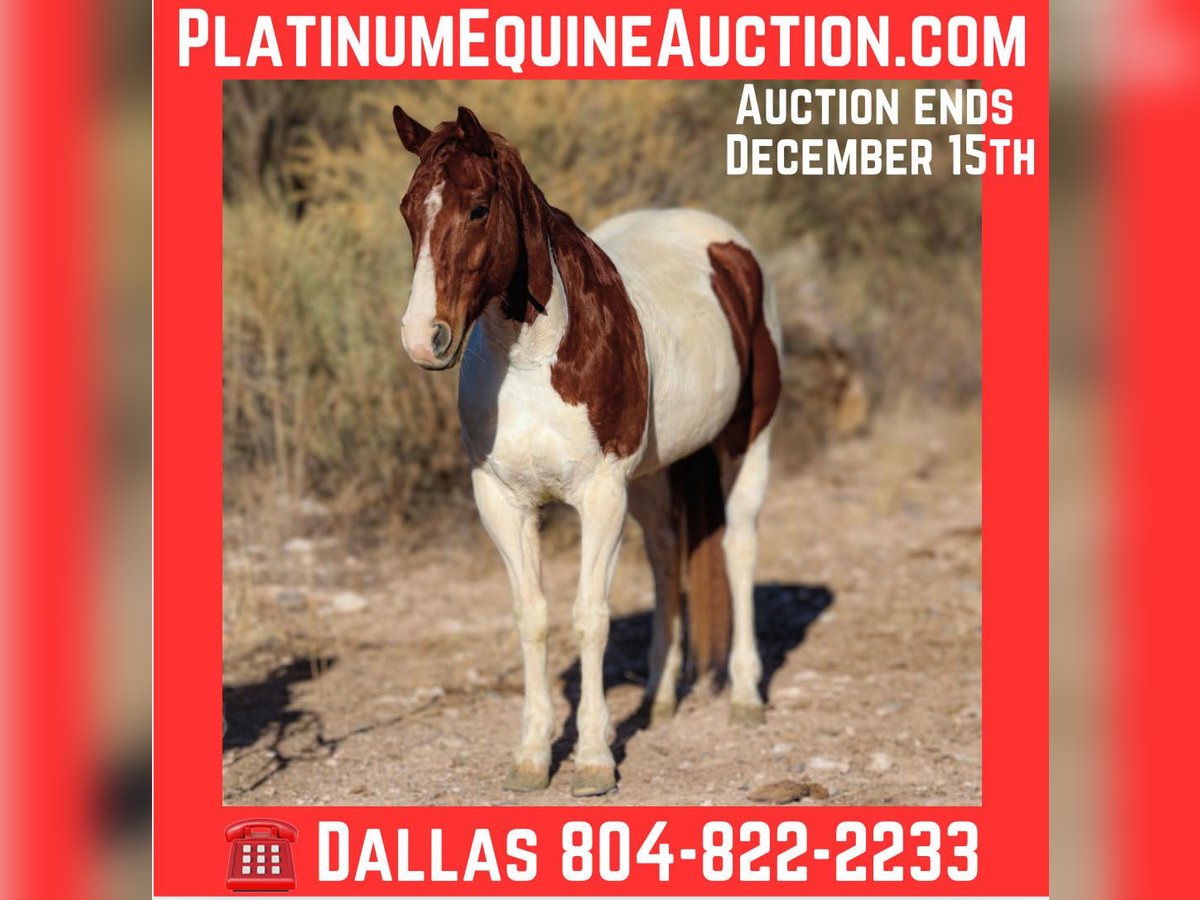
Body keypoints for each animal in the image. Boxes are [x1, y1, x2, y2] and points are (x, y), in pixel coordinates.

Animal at [391, 105, 782, 797]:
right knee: (666, 554)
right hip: (651, 475)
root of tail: (731, 250)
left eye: (478, 208)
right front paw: (531, 755)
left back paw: (744, 695)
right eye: (409, 210)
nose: (422, 338)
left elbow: (589, 617)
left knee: (739, 547)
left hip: (746, 441)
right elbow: (533, 616)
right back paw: (658, 697)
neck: (535, 358)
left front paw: (595, 759)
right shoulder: (502, 499)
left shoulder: (600, 496)